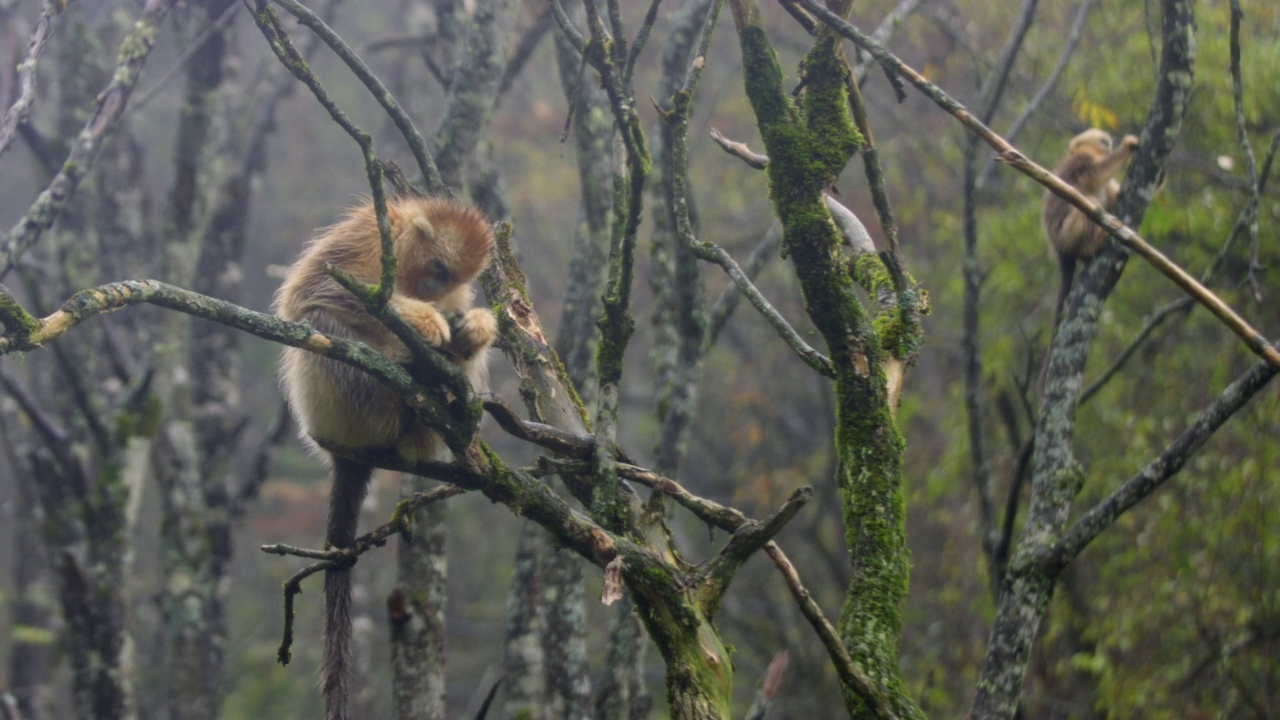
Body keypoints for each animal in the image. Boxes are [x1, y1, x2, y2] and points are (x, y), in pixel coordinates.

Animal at [275, 193, 494, 717]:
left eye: (450, 276)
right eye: (438, 267)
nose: (435, 290)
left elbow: (465, 327)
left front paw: (476, 327)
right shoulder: (365, 238)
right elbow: (315, 292)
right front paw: (419, 317)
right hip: (332, 399)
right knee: (323, 322)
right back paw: (407, 369)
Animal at [1039, 128, 1141, 327]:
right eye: (1104, 143)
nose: (1109, 149)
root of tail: (1059, 250)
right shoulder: (1081, 160)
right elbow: (1093, 175)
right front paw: (1127, 146)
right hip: (1067, 236)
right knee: (1091, 202)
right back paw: (1091, 248)